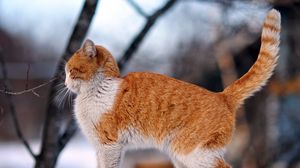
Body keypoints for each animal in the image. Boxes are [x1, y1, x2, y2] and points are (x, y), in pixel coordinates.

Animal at [63, 9, 282, 168]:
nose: (65, 82)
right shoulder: (101, 148)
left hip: (192, 153)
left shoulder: (110, 145)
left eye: (71, 71)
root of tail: (222, 96)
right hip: (181, 158)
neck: (98, 89)